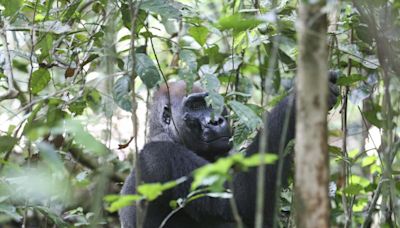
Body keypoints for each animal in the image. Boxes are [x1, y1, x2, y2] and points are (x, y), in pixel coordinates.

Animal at [120, 74, 340, 227]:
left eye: (213, 104)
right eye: (195, 106)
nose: (216, 121)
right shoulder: (161, 155)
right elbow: (240, 199)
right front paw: (294, 103)